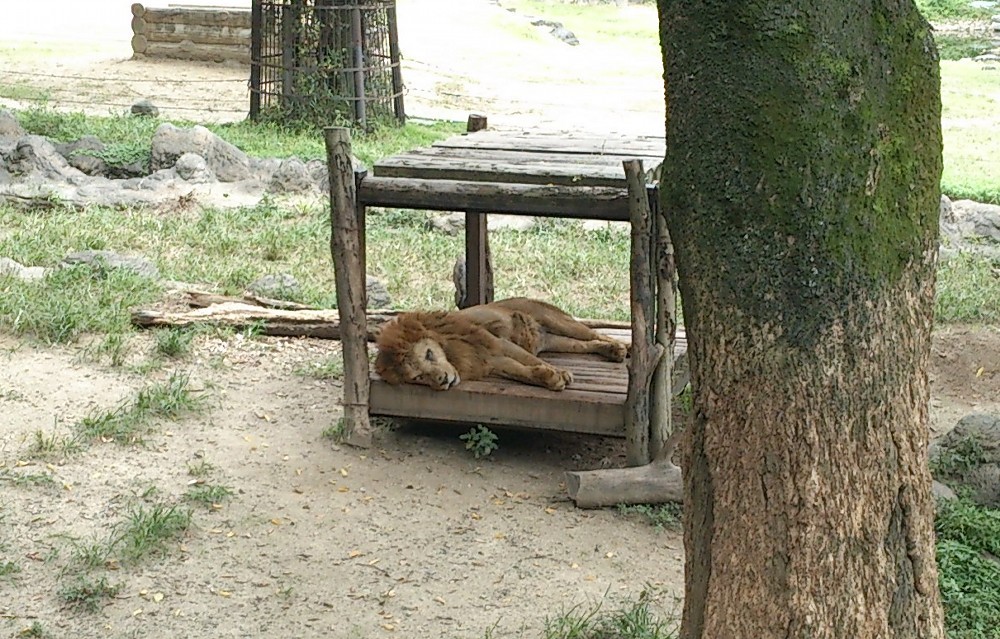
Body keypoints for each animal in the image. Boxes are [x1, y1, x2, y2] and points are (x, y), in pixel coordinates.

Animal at [376, 298, 624, 392]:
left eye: (429, 354)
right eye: (418, 377)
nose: (443, 381)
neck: (453, 352)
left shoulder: (497, 343)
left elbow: (528, 359)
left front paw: (560, 373)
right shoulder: (491, 361)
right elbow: (521, 371)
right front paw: (549, 378)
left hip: (559, 322)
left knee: (595, 334)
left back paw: (621, 348)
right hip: (557, 341)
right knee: (587, 344)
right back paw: (611, 351)